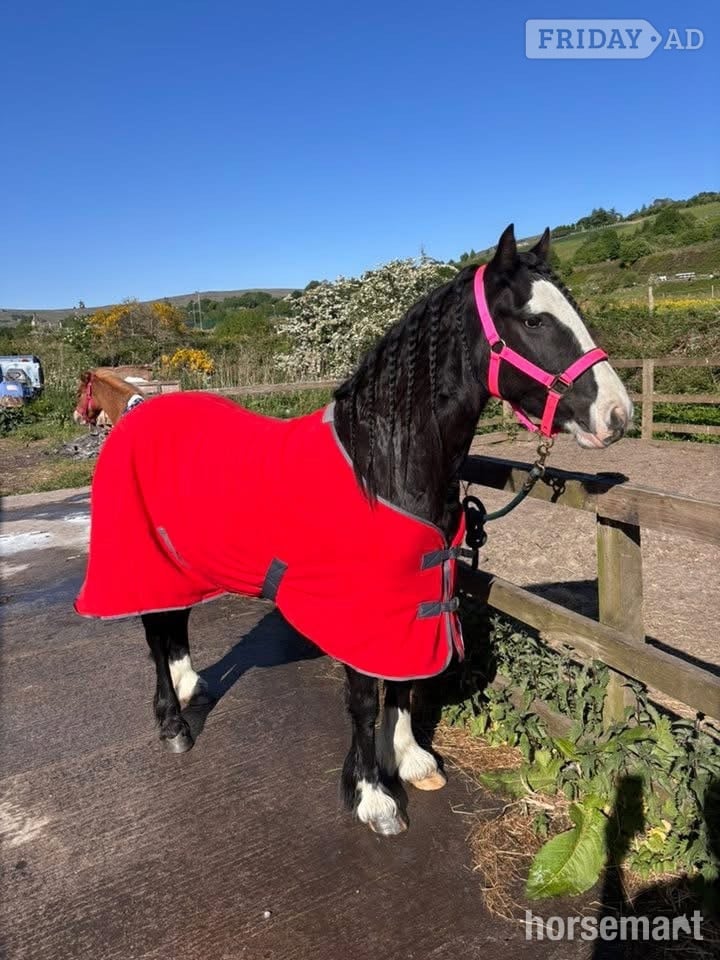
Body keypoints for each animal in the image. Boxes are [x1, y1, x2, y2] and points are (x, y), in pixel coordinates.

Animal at [75, 225, 632, 836]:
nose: (617, 415)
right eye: (534, 321)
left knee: (173, 624)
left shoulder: (414, 597)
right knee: (155, 631)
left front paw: (409, 759)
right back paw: (174, 726)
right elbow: (366, 697)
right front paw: (371, 795)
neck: (383, 463)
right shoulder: (364, 607)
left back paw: (189, 688)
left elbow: (407, 682)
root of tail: (136, 415)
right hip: (145, 559)